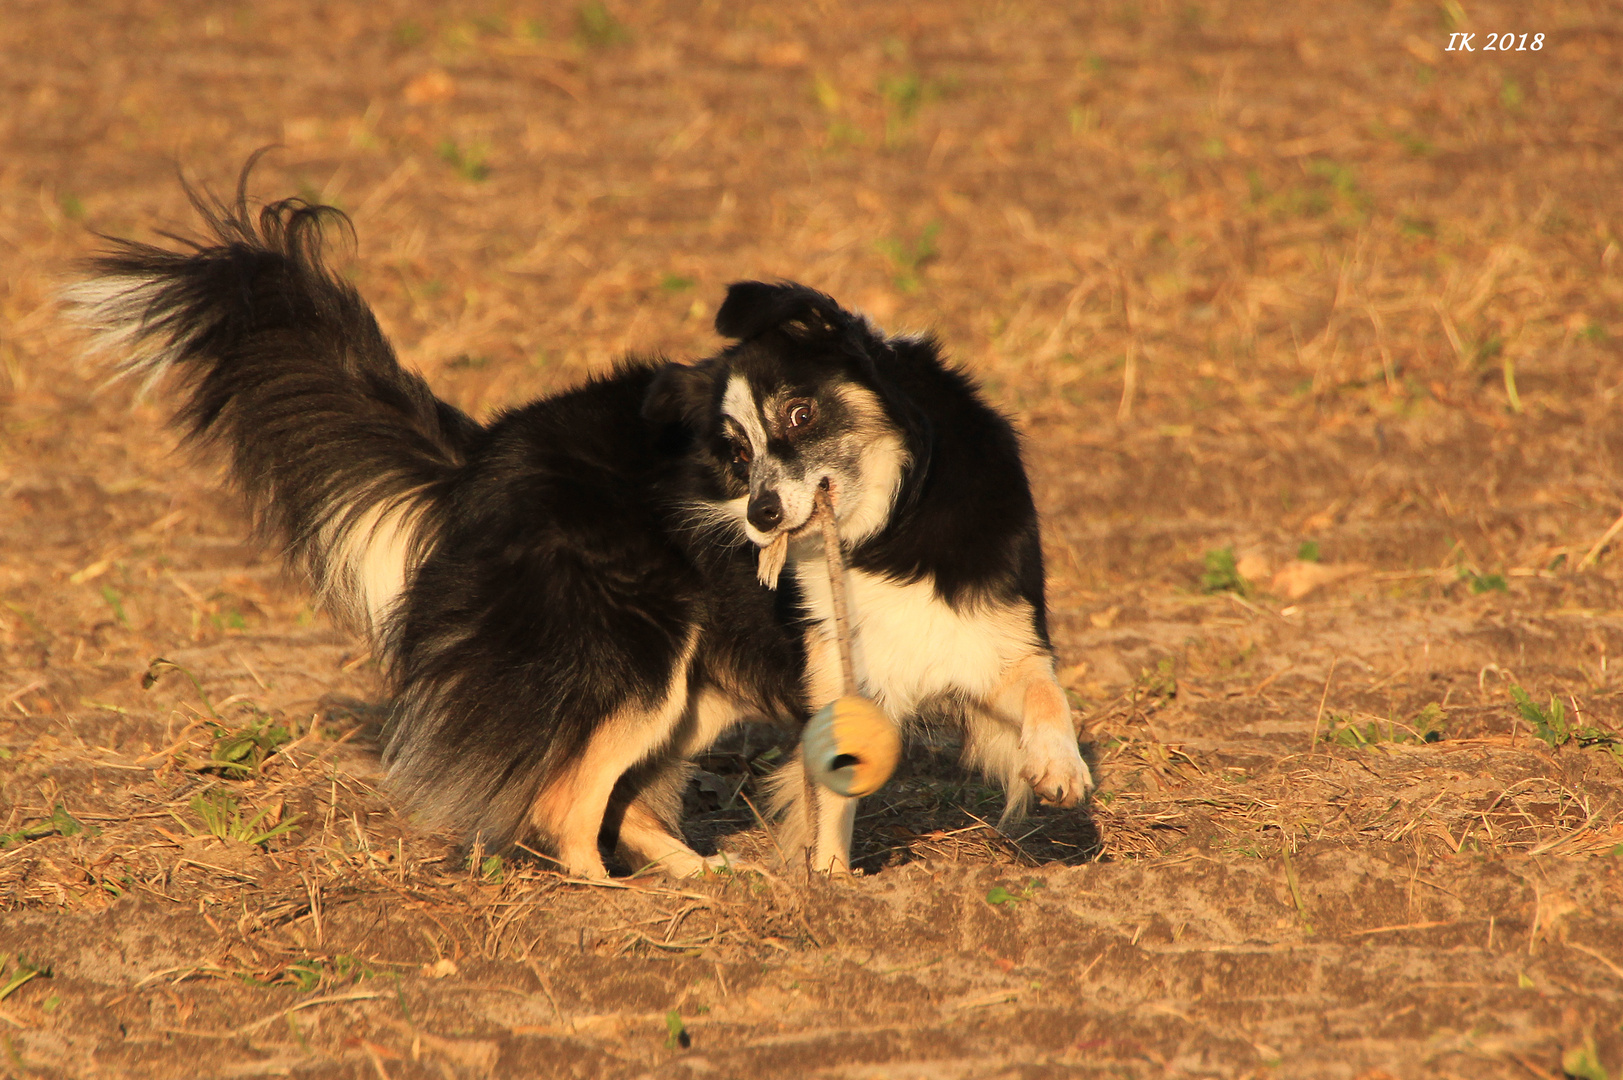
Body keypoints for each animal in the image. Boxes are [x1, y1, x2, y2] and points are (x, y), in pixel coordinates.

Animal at [69, 177, 1097, 876]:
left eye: (799, 414)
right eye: (730, 448)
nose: (758, 514)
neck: (885, 529)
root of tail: (483, 456)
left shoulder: (988, 625)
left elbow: (1043, 694)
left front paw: (1060, 778)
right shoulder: (832, 675)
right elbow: (827, 802)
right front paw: (826, 891)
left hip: (691, 683)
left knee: (625, 802)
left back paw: (699, 879)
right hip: (632, 656)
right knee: (565, 803)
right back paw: (617, 896)